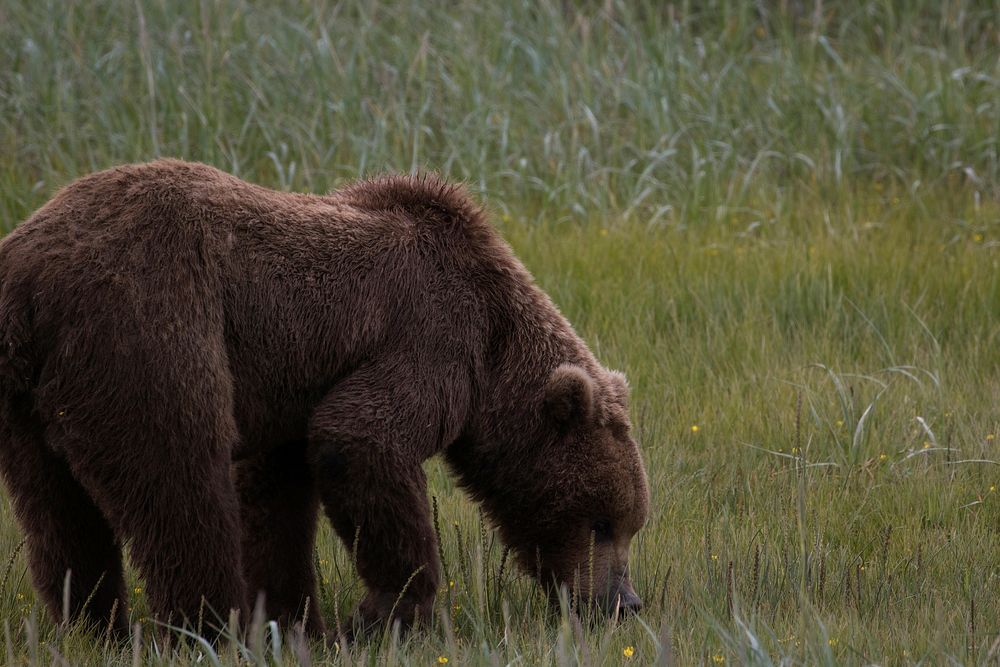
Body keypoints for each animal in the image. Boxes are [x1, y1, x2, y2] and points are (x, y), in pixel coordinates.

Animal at [0, 159, 648, 640]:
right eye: (601, 522)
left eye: (631, 524)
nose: (625, 602)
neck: (495, 347)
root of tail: (25, 272)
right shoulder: (432, 336)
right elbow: (360, 438)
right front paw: (388, 614)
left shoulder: (288, 389)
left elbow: (275, 496)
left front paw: (294, 620)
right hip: (148, 328)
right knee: (181, 481)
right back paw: (210, 627)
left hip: (32, 401)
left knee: (59, 514)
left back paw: (96, 626)